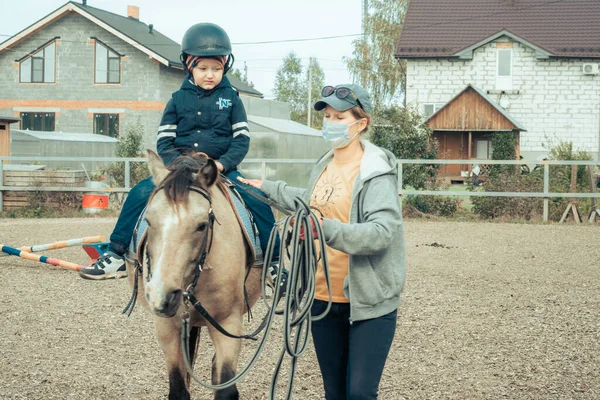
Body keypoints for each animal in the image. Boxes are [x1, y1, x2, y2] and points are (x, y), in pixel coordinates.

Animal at [126, 151, 262, 400]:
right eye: (148, 221)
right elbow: (179, 390)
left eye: (202, 225)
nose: (162, 296)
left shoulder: (228, 323)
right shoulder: (167, 329)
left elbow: (226, 389)